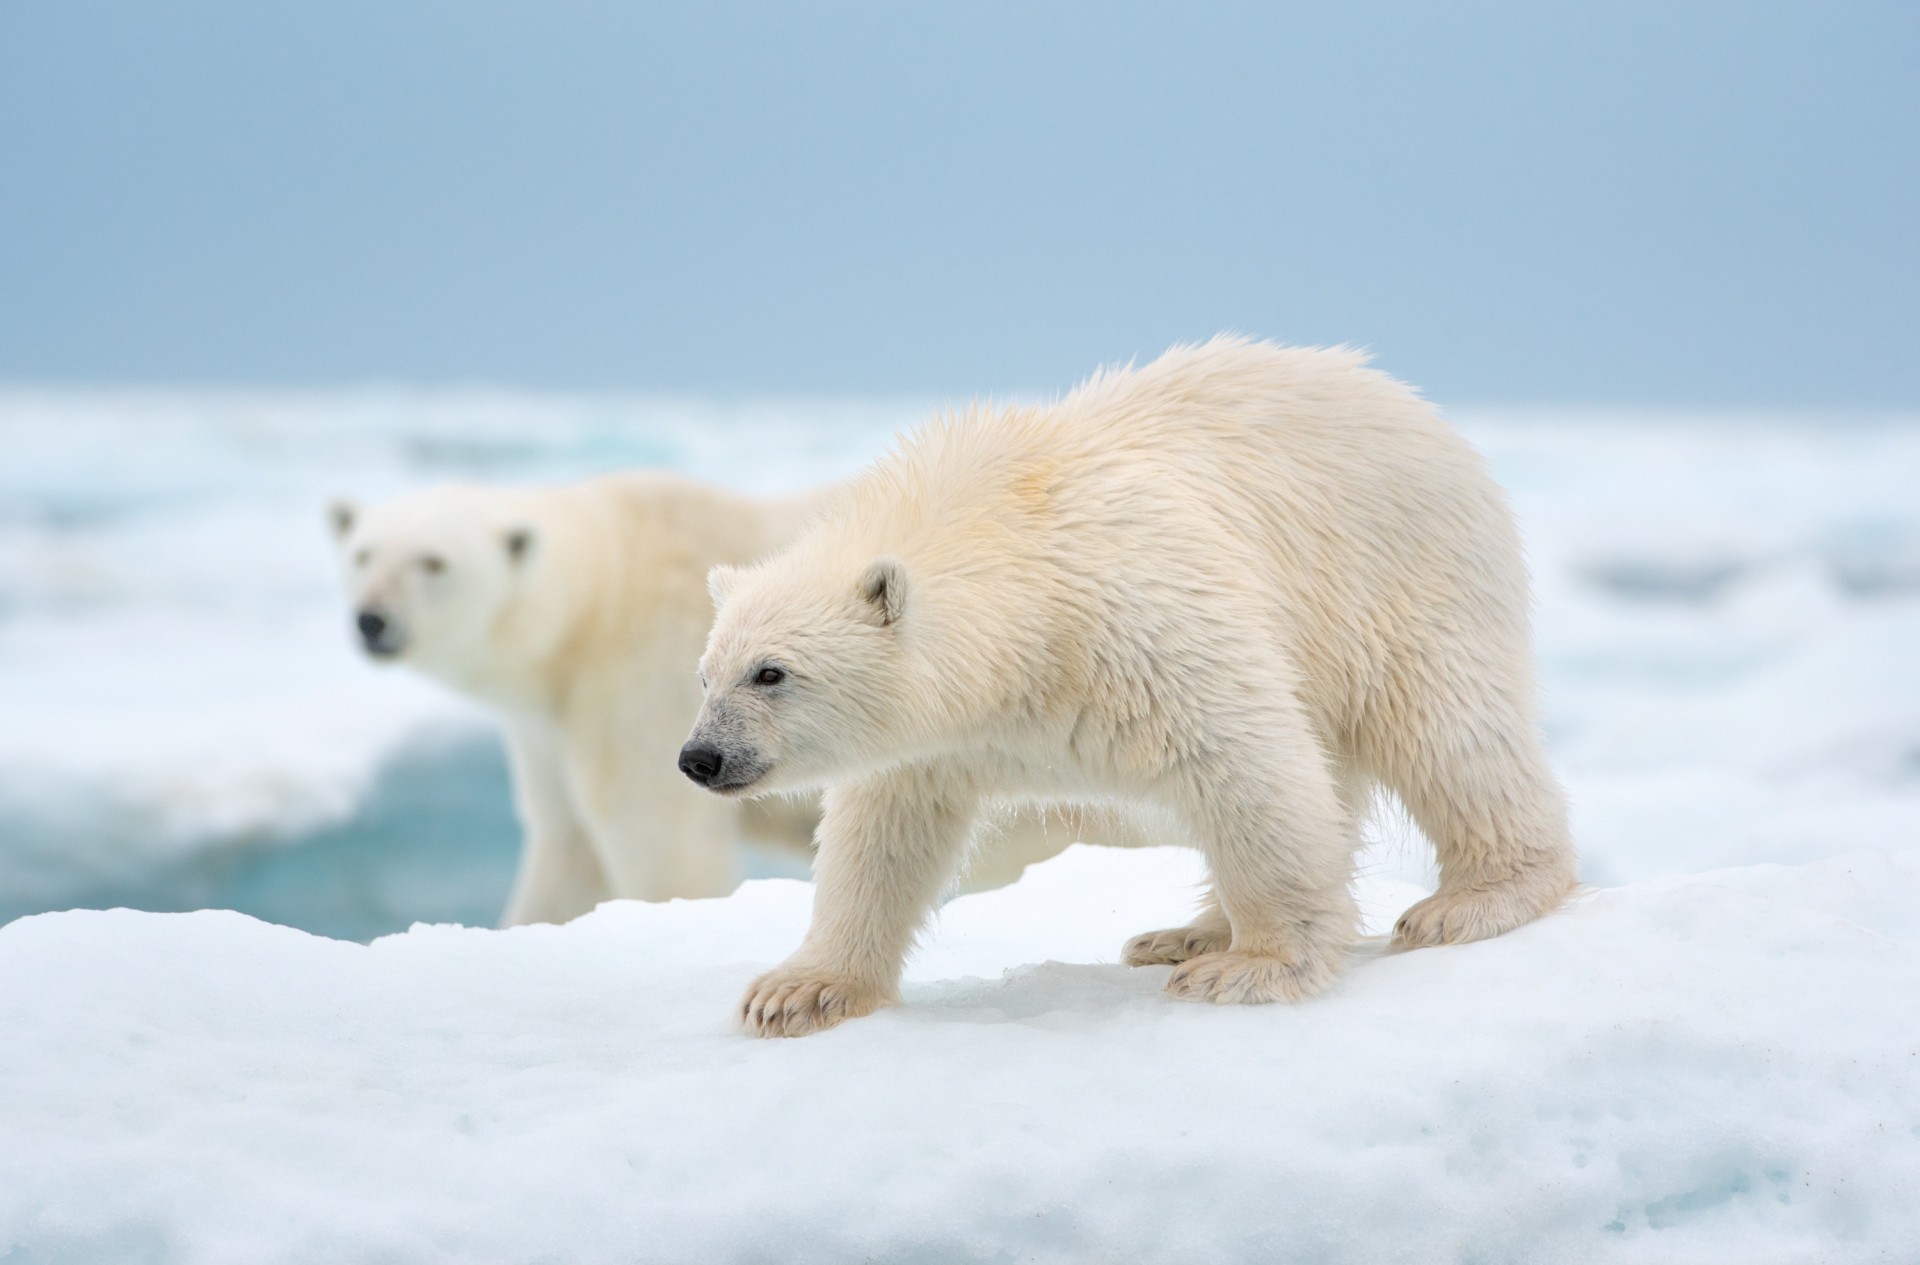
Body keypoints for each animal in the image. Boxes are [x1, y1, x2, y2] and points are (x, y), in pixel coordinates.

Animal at [682, 337, 1578, 1037]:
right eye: (705, 672)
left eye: (771, 671)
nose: (700, 756)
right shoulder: (939, 738)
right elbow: (882, 835)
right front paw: (798, 990)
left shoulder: (1140, 621)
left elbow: (1246, 763)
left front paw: (1253, 967)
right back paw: (1185, 931)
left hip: (1400, 578)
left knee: (1445, 728)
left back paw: (1472, 899)